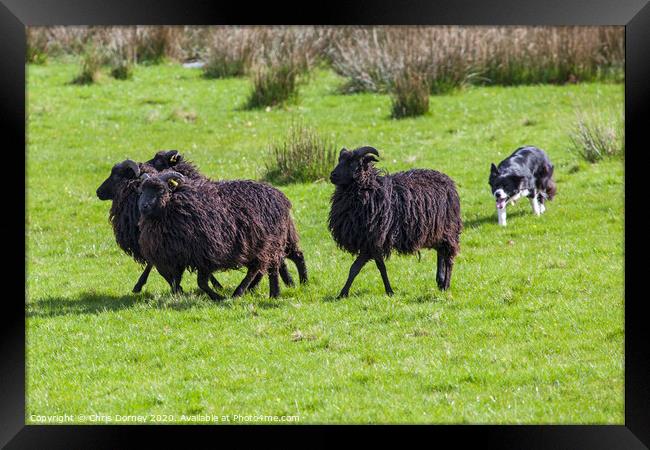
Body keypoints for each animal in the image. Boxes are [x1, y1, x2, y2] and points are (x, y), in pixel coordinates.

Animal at [330, 146, 460, 298]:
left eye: (352, 163)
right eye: (340, 160)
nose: (332, 175)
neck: (370, 189)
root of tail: (449, 181)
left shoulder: (373, 240)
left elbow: (363, 267)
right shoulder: (369, 241)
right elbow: (368, 268)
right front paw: (343, 294)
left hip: (449, 228)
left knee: (449, 257)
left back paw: (445, 285)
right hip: (436, 231)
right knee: (441, 251)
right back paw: (440, 280)